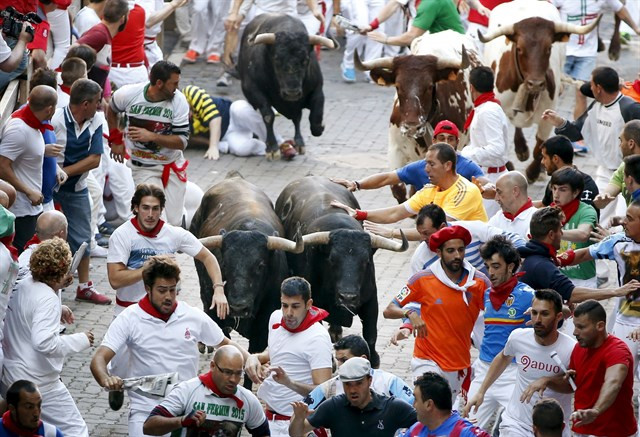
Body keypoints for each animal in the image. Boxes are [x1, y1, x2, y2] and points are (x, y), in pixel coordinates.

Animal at [236, 13, 336, 160]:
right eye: (277, 59)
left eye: (306, 60)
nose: (292, 93)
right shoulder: (253, 90)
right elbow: (268, 116)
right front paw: (272, 148)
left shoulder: (317, 90)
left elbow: (315, 117)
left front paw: (319, 128)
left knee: (297, 117)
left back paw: (299, 143)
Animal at [274, 175, 404, 366]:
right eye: (332, 260)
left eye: (366, 261)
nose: (347, 297)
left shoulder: (371, 300)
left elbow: (370, 334)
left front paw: (373, 360)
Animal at [480, 0, 600, 181]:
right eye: (519, 48)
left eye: (549, 48)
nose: (535, 84)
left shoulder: (547, 116)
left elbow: (540, 148)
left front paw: (532, 172)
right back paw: (521, 149)